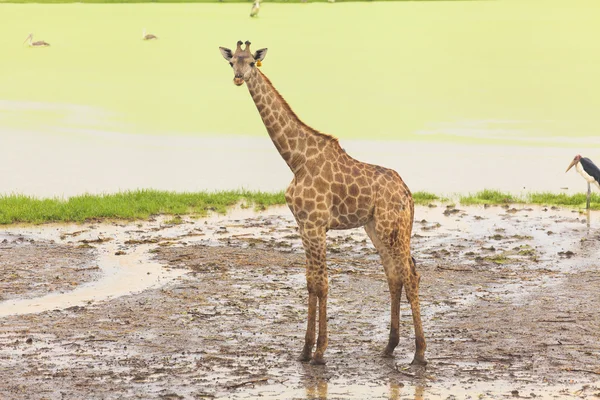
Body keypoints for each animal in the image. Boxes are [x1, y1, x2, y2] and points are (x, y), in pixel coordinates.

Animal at [218, 40, 424, 366]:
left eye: (251, 62)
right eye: (231, 62)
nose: (238, 78)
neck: (296, 160)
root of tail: (408, 194)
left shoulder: (316, 224)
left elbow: (323, 283)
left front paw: (320, 352)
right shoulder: (303, 225)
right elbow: (310, 282)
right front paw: (305, 350)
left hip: (394, 229)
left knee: (411, 275)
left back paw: (419, 353)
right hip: (376, 229)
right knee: (394, 275)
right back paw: (389, 347)